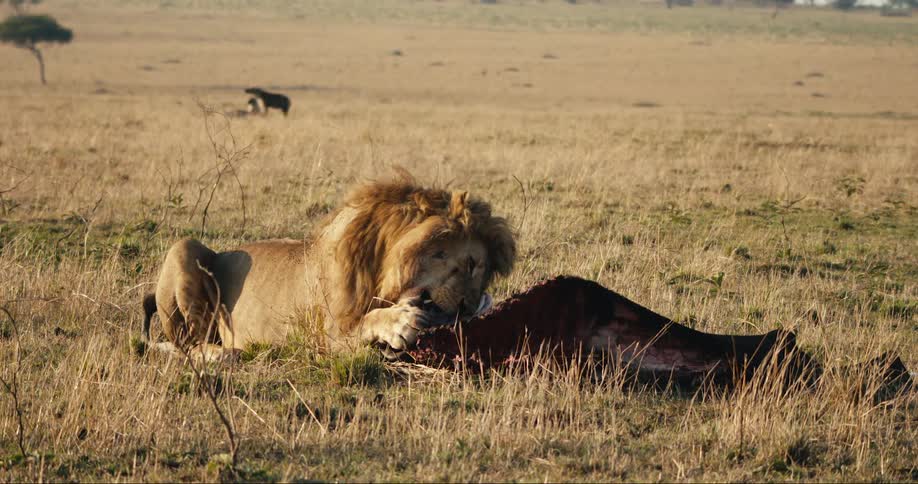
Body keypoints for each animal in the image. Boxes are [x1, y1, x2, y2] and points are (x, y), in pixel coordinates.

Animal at [141, 178, 516, 360]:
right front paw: (398, 322)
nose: (470, 305)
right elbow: (366, 321)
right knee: (189, 344)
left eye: (483, 272)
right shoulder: (327, 336)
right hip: (184, 247)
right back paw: (224, 354)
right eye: (471, 263)